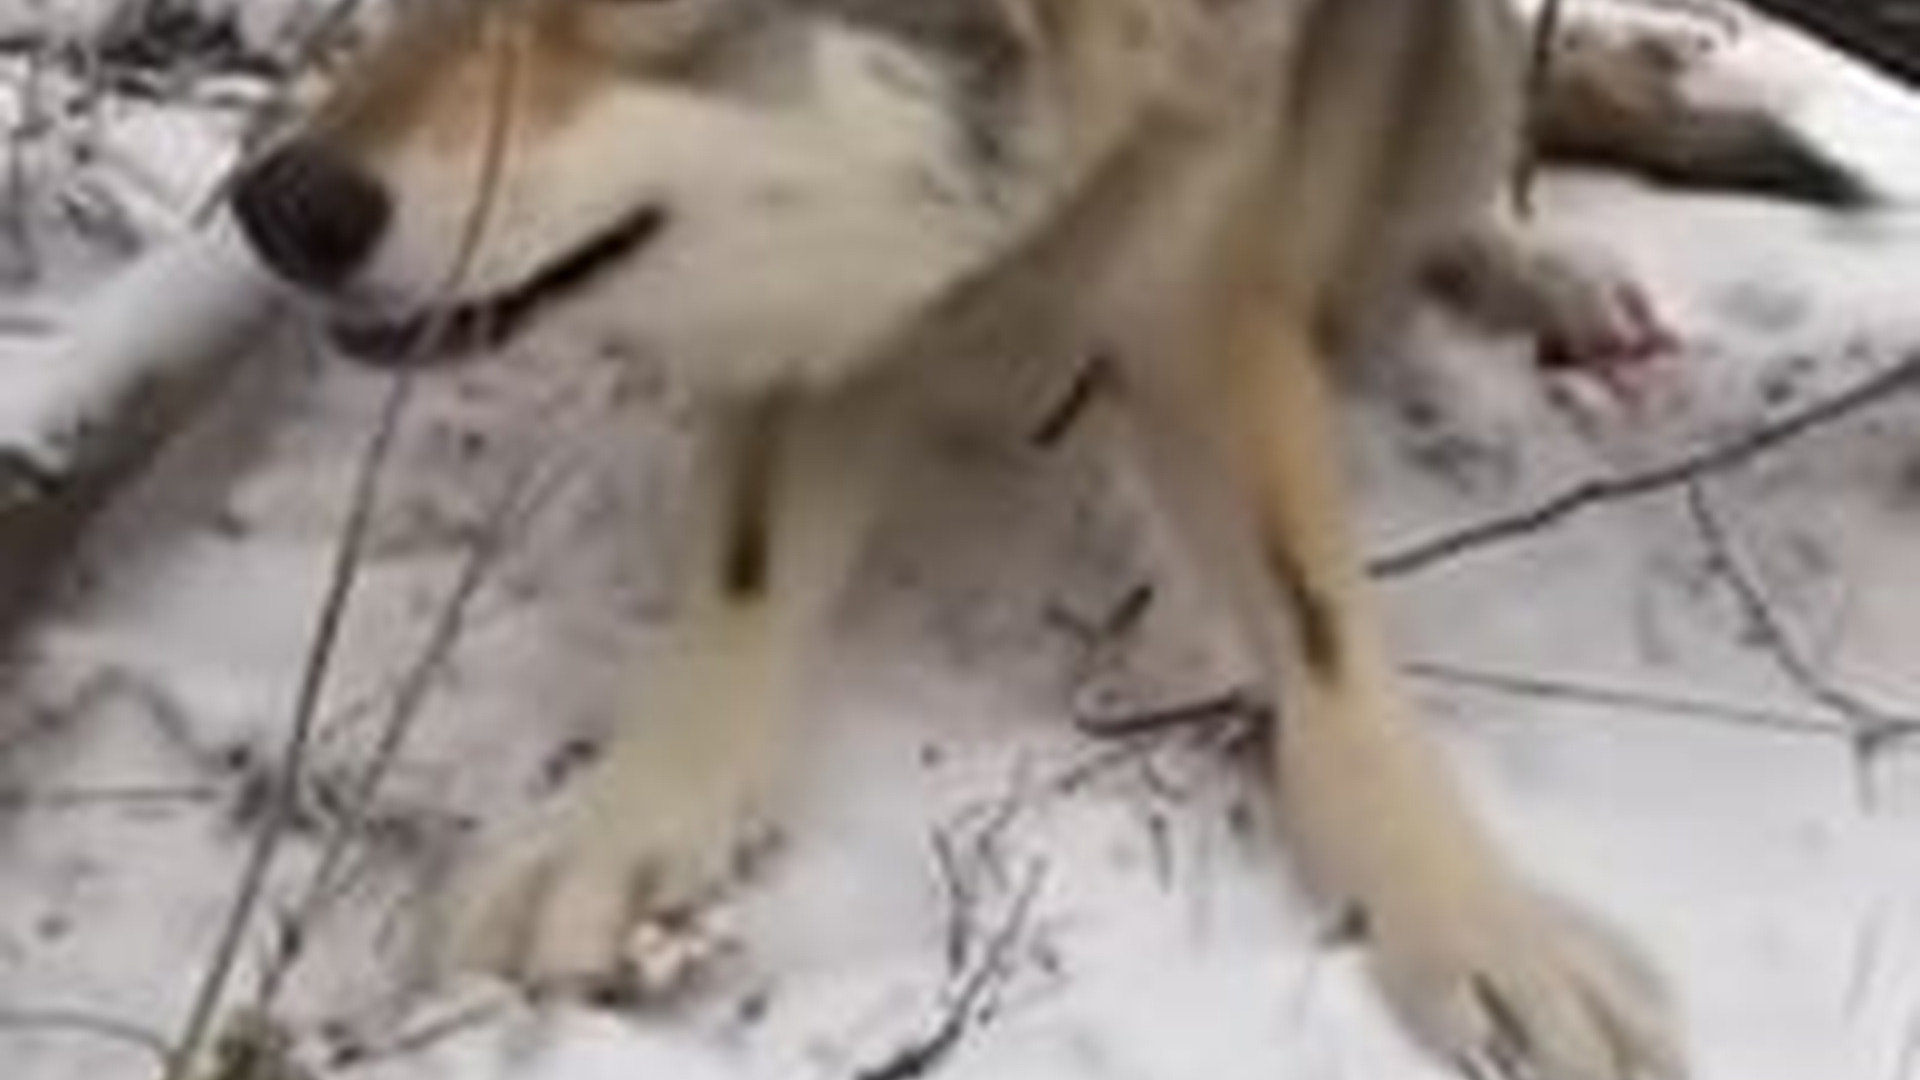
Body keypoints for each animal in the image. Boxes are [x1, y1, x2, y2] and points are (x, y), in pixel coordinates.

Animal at [223, 1, 1686, 1077]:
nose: (274, 205)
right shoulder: (801, 298)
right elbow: (746, 573)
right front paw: (629, 827)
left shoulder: (1207, 274)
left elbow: (1322, 630)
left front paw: (1476, 921)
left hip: (1452, 63)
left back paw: (1538, 278)